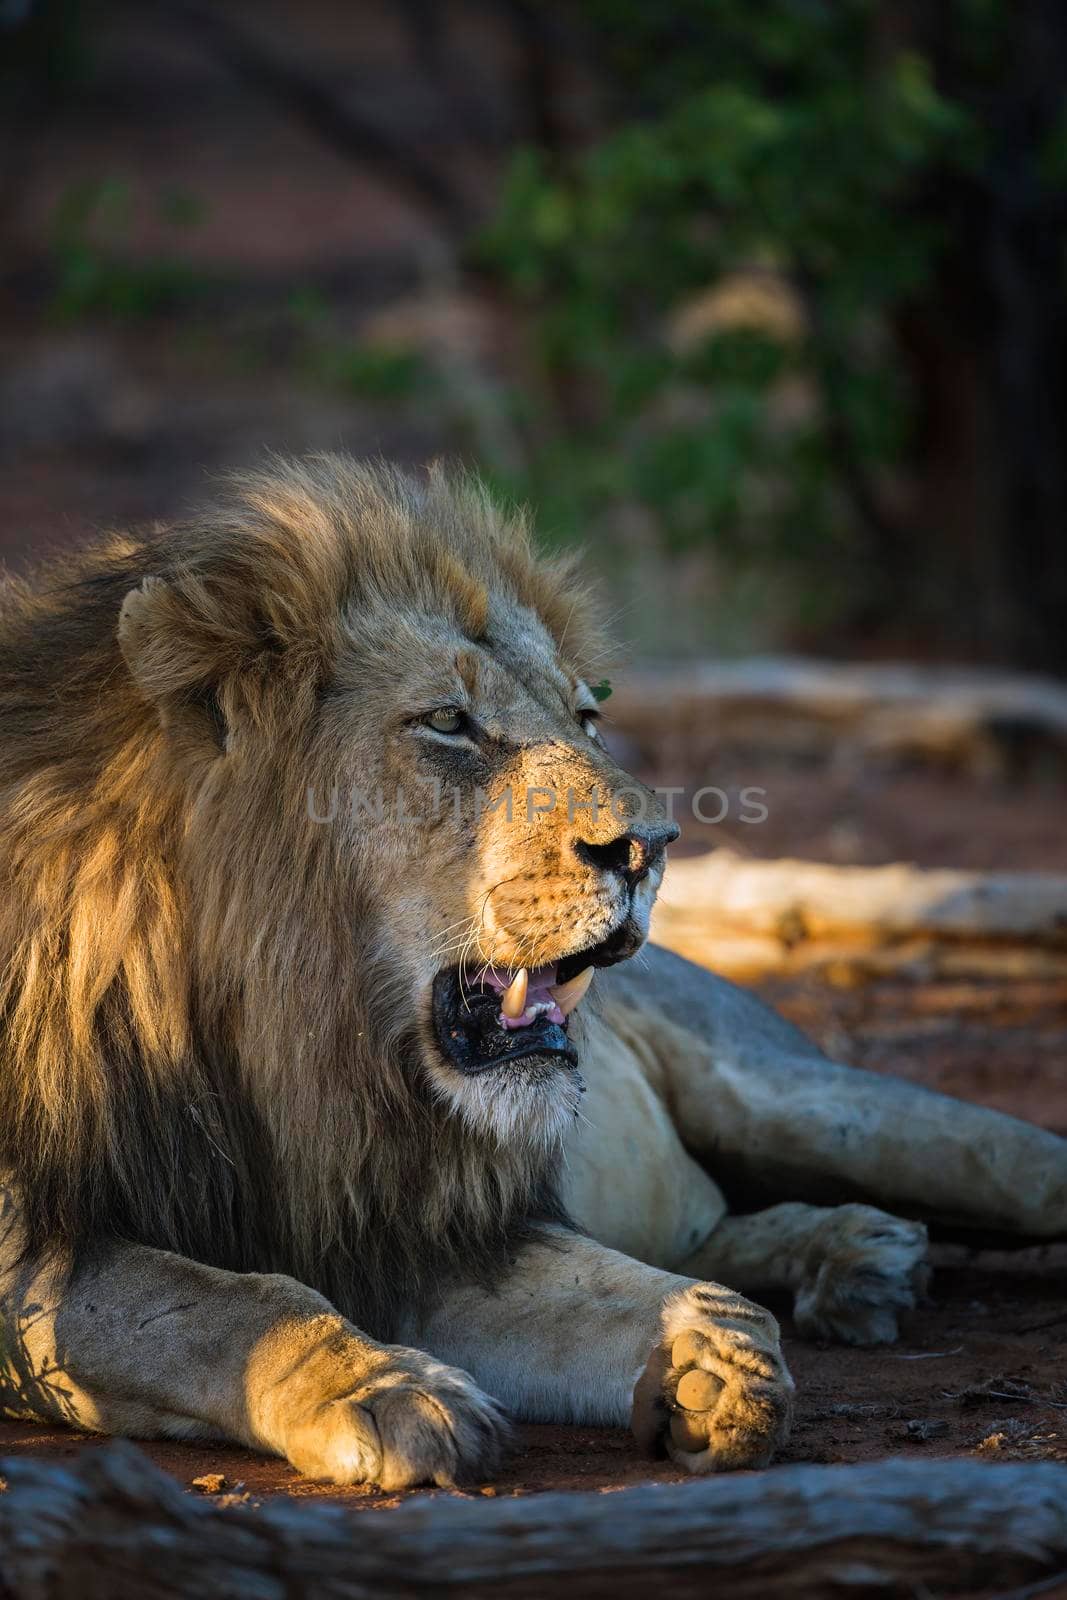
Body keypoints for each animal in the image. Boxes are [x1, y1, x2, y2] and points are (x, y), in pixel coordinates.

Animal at [2, 454, 1067, 1484]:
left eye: (586, 718)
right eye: (447, 721)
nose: (648, 847)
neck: (296, 1052)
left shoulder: (435, 1230)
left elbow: (632, 1290)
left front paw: (713, 1355)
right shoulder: (38, 1263)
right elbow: (229, 1303)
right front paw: (386, 1389)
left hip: (816, 1106)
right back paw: (851, 1256)